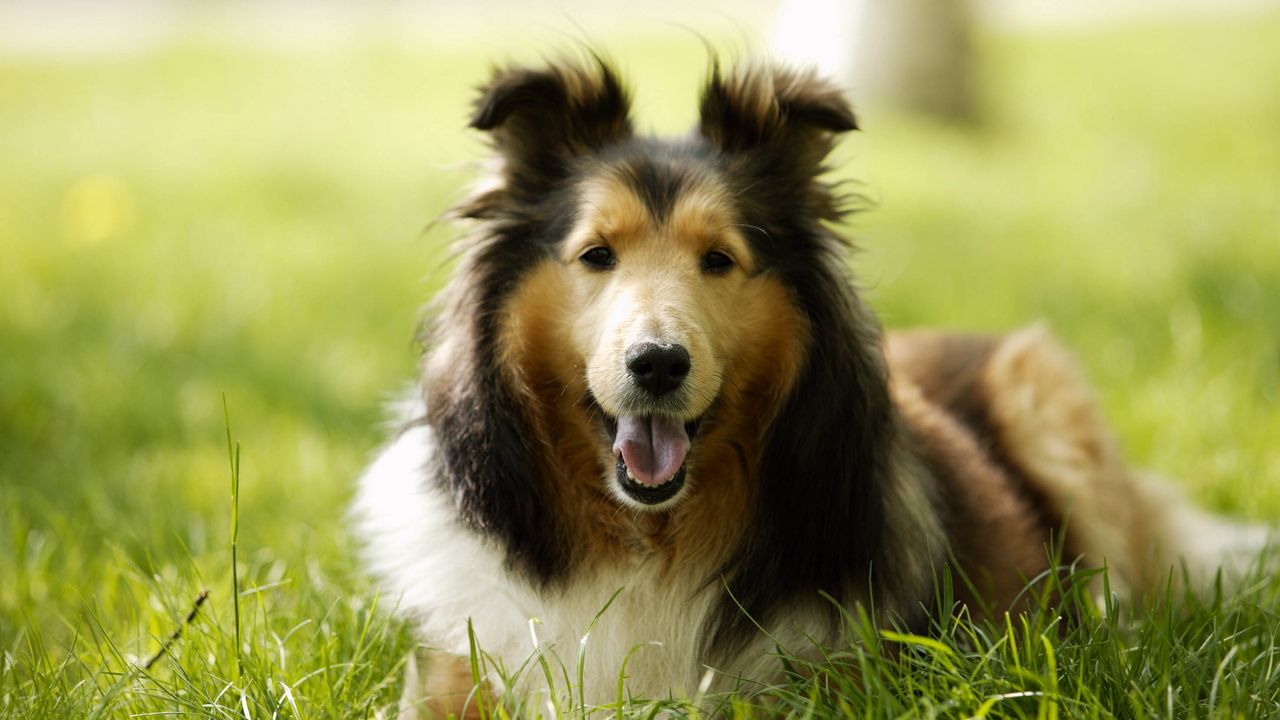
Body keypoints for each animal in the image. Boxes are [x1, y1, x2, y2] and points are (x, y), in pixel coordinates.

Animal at [353, 54, 1269, 712]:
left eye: (719, 259)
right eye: (596, 254)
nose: (659, 364)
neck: (647, 541)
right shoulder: (462, 668)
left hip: (1044, 395)